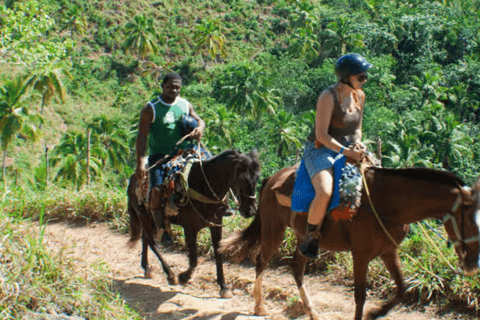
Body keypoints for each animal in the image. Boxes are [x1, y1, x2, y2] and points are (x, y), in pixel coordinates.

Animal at [127, 149, 260, 298]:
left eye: (257, 178)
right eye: (242, 179)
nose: (250, 211)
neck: (204, 186)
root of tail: (132, 178)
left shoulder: (216, 224)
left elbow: (218, 254)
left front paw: (223, 286)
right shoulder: (189, 228)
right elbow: (194, 259)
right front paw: (184, 277)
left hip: (151, 219)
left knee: (146, 238)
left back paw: (147, 268)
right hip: (143, 214)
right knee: (151, 241)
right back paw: (170, 274)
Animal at [221, 165, 480, 320]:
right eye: (472, 220)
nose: (472, 265)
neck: (387, 202)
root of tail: (273, 178)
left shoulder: (389, 251)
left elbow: (402, 289)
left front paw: (376, 312)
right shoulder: (361, 254)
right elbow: (360, 296)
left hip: (303, 239)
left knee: (296, 268)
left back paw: (312, 311)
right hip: (273, 230)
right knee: (261, 261)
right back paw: (259, 305)